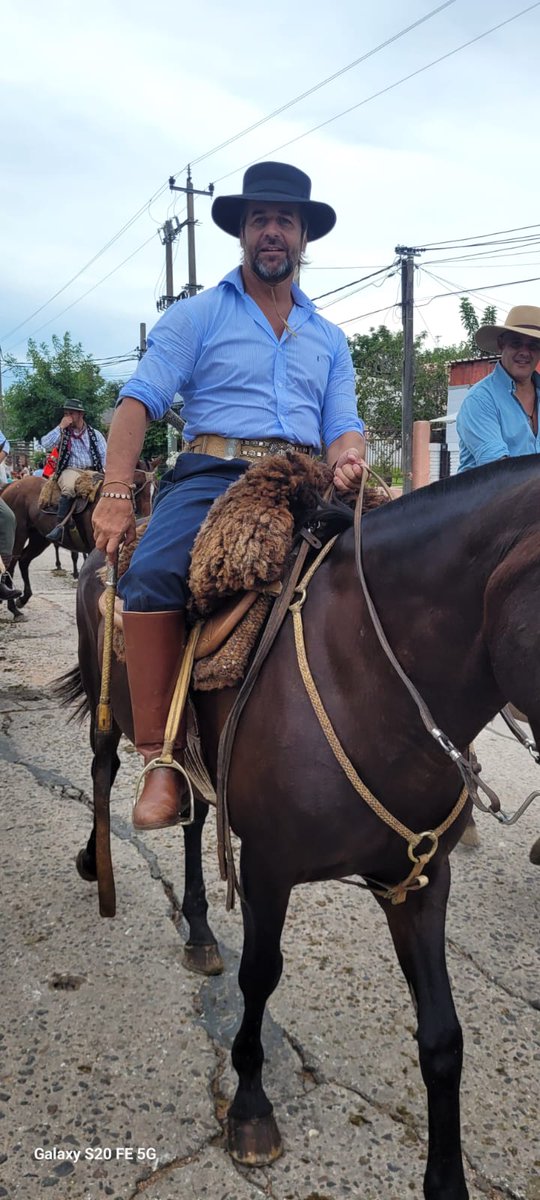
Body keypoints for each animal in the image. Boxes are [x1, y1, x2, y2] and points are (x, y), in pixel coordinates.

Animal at [1, 460, 154, 619]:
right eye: (137, 484)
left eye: (154, 486)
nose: (147, 516)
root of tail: (12, 485)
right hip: (18, 537)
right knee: (10, 566)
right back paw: (13, 607)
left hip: (39, 539)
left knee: (24, 560)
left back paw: (22, 600)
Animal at [59, 451, 540, 1200]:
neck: (368, 678)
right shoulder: (268, 870)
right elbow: (260, 976)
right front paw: (251, 1110)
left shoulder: (417, 880)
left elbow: (443, 1036)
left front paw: (446, 1179)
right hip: (111, 715)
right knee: (104, 774)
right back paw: (96, 861)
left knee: (195, 819)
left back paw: (199, 929)